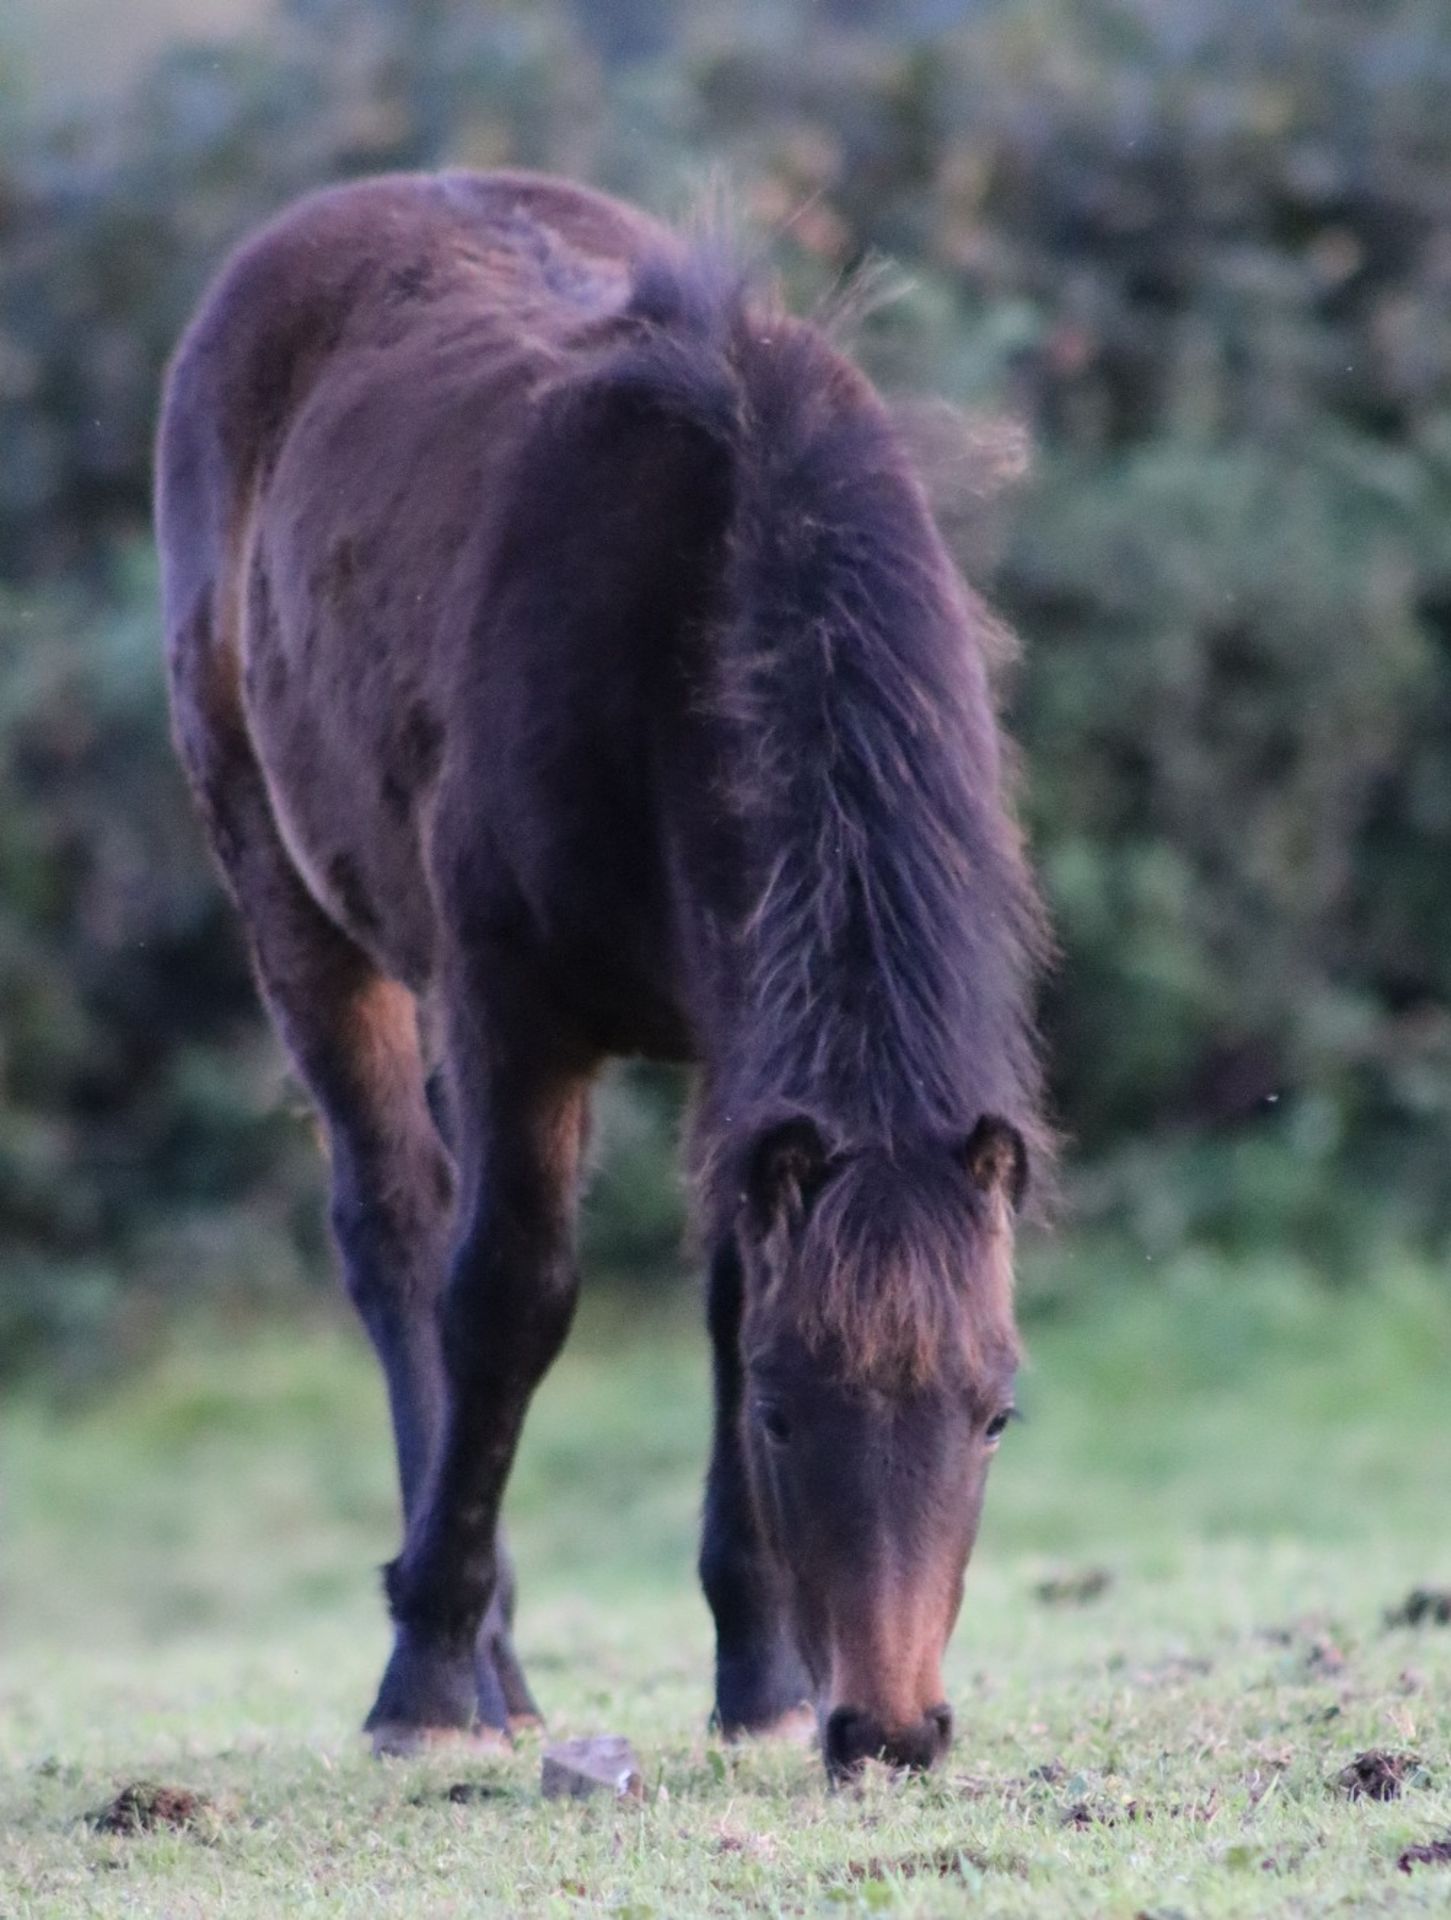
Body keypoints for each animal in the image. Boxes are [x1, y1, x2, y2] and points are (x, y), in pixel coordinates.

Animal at [155, 172, 1044, 1774]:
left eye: (994, 1411)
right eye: (781, 1414)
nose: (889, 1731)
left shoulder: (732, 1049)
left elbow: (722, 1293)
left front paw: (759, 1677)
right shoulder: (516, 1010)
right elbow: (508, 1301)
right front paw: (423, 1677)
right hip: (301, 913)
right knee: (396, 1237)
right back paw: (473, 1660)